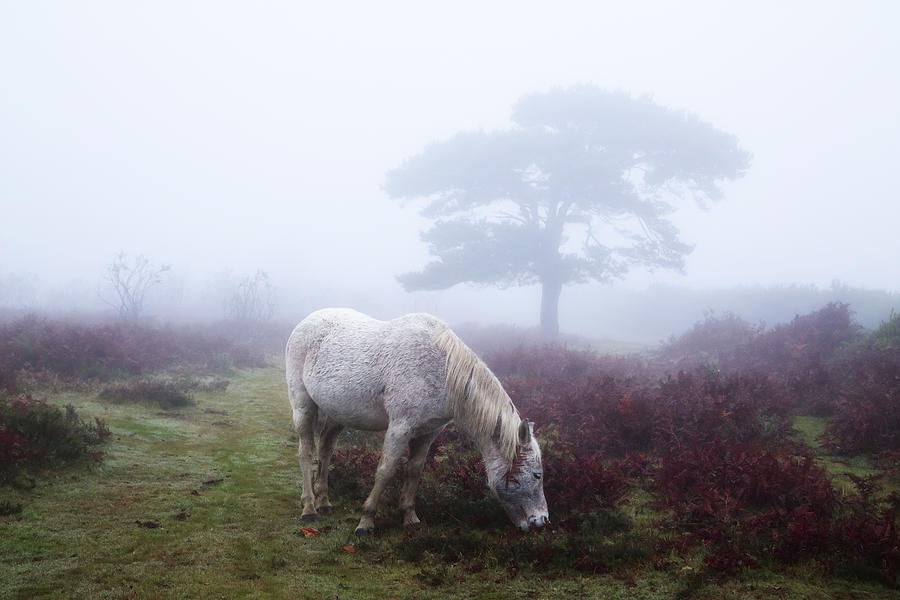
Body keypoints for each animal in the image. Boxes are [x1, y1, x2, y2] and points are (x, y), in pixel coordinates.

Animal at [284, 310, 548, 536]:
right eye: (537, 475)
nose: (542, 521)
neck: (441, 370)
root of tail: (305, 322)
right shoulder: (400, 428)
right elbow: (386, 470)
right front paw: (366, 521)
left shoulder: (428, 432)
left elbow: (415, 469)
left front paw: (410, 517)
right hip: (303, 406)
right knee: (306, 453)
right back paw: (309, 508)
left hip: (338, 414)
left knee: (326, 449)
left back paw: (324, 501)